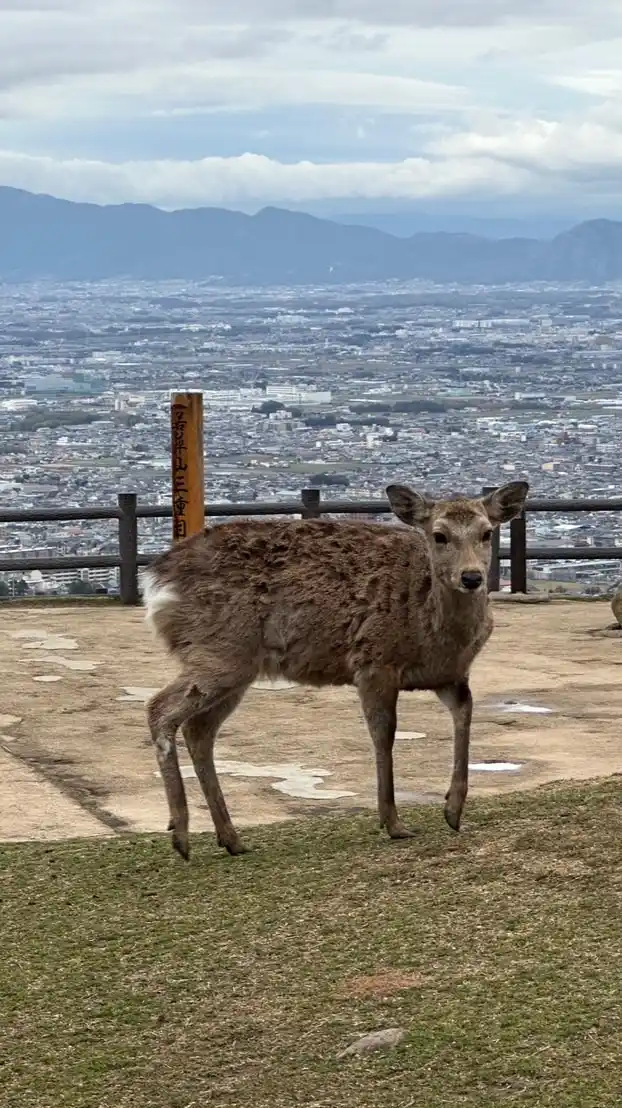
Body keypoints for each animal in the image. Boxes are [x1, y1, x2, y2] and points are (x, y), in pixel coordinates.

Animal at [143, 480, 525, 859]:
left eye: (487, 532)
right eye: (439, 535)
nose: (472, 577)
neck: (434, 633)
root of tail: (157, 583)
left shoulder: (451, 676)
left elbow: (465, 716)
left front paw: (453, 811)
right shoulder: (372, 662)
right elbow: (384, 733)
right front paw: (393, 822)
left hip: (236, 667)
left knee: (199, 729)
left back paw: (231, 838)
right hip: (219, 652)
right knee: (159, 708)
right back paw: (181, 835)